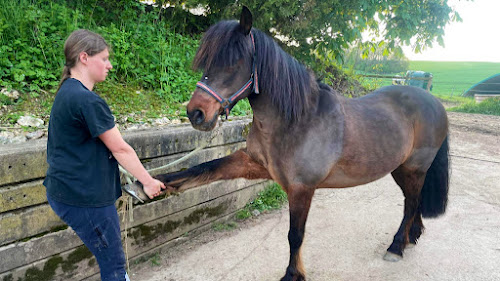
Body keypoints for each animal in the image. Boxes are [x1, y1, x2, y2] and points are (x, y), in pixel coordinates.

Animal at [151, 6, 450, 280]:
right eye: (206, 62)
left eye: (234, 62)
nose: (196, 114)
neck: (296, 120)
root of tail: (434, 102)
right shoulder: (254, 163)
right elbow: (206, 168)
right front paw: (158, 184)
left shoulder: (301, 188)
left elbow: (295, 235)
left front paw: (293, 274)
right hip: (400, 169)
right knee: (413, 200)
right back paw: (412, 236)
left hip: (414, 168)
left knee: (411, 202)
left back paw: (397, 246)